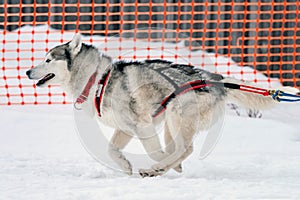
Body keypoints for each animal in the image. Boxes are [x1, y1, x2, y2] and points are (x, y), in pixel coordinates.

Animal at [26, 35, 276, 177]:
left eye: (48, 59)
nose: (28, 71)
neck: (97, 80)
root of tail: (214, 78)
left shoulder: (142, 126)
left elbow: (155, 152)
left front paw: (159, 165)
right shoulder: (125, 129)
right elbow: (111, 150)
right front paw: (126, 167)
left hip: (175, 115)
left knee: (185, 149)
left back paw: (156, 169)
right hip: (170, 125)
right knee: (180, 149)